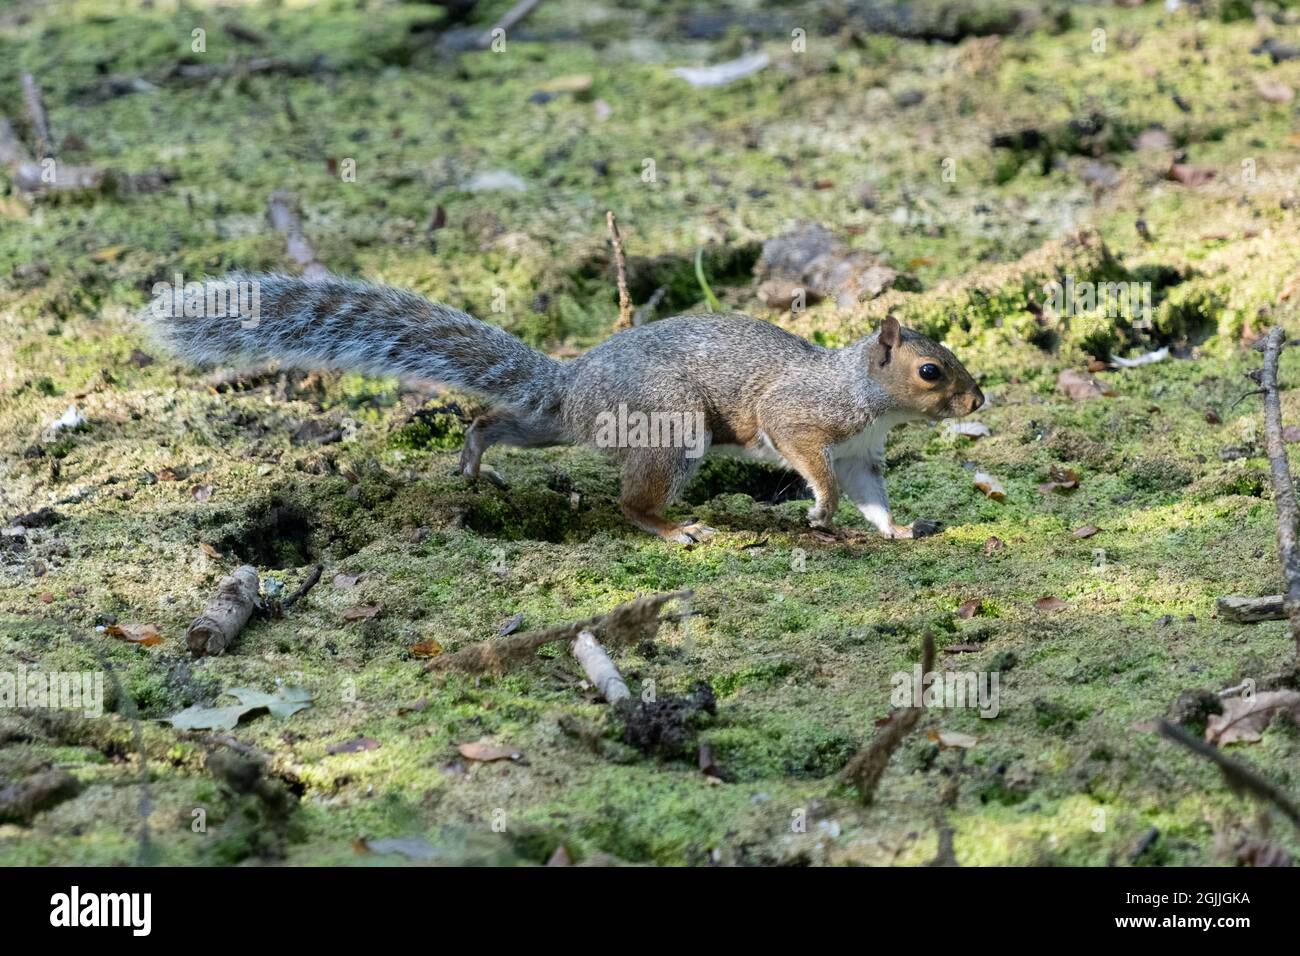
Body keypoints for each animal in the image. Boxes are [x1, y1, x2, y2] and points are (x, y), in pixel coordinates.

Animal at [147, 273, 977, 541]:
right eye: (930, 370)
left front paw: (896, 529)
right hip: (671, 431)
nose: (980, 396)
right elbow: (809, 459)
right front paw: (819, 509)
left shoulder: (865, 454)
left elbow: (872, 496)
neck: (865, 394)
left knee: (500, 419)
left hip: (557, 426)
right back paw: (675, 527)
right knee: (630, 504)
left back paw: (474, 459)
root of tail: (573, 383)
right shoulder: (801, 418)